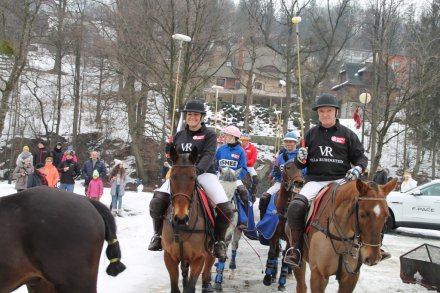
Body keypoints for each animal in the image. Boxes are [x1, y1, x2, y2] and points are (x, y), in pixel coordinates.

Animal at [162, 144, 216, 292]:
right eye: (173, 177)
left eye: (193, 177)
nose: (180, 218)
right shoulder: (169, 257)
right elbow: (175, 288)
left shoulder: (198, 258)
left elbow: (190, 287)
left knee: (209, 265)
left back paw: (207, 285)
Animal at [262, 155, 304, 290]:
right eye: (288, 167)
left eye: (302, 168)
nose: (299, 182)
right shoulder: (273, 233)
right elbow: (272, 253)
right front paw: (268, 278)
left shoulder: (290, 237)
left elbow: (286, 255)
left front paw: (282, 283)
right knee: (276, 252)